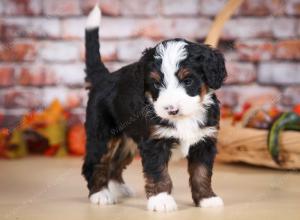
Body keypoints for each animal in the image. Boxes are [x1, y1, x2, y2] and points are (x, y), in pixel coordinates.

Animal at [82, 5, 227, 211]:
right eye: (157, 84)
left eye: (188, 80)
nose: (171, 109)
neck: (184, 118)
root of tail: (104, 78)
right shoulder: (154, 142)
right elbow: (159, 173)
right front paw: (162, 200)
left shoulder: (204, 141)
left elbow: (202, 172)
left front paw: (207, 198)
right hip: (102, 135)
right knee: (95, 163)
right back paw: (100, 194)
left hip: (128, 141)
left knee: (115, 163)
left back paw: (118, 188)